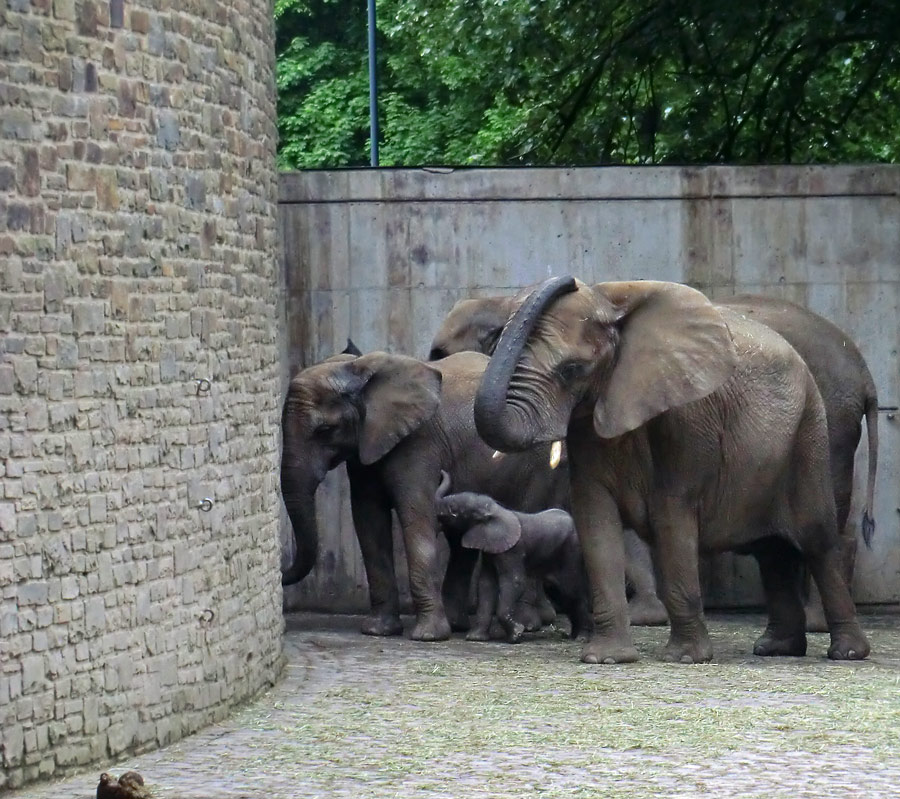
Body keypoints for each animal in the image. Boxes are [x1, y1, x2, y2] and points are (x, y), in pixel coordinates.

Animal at [280, 350, 568, 644]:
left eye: (324, 430)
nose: (281, 571)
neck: (357, 368)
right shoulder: (366, 448)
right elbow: (369, 522)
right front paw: (378, 631)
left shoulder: (419, 445)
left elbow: (416, 518)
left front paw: (428, 637)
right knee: (461, 540)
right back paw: (458, 624)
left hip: (541, 464)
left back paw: (526, 625)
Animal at [434, 476, 596, 644]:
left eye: (455, 509)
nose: (442, 473)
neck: (495, 510)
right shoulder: (491, 547)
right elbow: (486, 585)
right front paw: (475, 638)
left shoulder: (512, 551)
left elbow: (515, 582)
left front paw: (516, 634)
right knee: (563, 596)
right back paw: (573, 636)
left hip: (572, 553)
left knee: (572, 593)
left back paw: (581, 638)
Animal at [474, 278, 868, 664]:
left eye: (572, 370)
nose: (567, 280)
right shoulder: (587, 424)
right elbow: (595, 518)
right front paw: (607, 659)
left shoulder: (688, 422)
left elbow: (671, 513)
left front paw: (685, 658)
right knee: (772, 552)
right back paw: (776, 648)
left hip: (811, 433)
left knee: (817, 540)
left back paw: (846, 652)